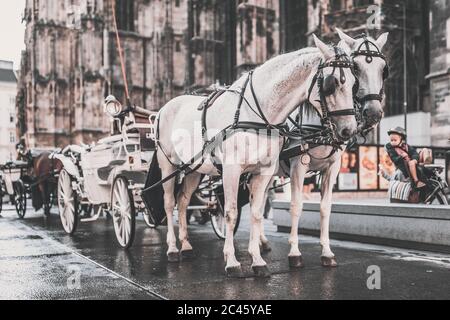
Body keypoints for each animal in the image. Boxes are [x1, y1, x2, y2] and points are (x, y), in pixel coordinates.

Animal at [155, 33, 358, 276]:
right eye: (331, 84)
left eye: (354, 82)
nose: (349, 130)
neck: (257, 115)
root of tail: (165, 107)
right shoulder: (232, 171)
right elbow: (231, 213)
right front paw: (232, 261)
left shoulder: (264, 171)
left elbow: (256, 212)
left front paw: (258, 260)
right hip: (168, 164)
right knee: (169, 203)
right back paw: (172, 249)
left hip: (194, 169)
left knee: (184, 201)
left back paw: (186, 246)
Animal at [286, 30, 388, 268]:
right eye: (356, 68)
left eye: (383, 69)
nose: (374, 113)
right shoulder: (298, 167)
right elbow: (296, 206)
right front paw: (294, 252)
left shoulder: (332, 168)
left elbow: (325, 207)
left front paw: (327, 252)